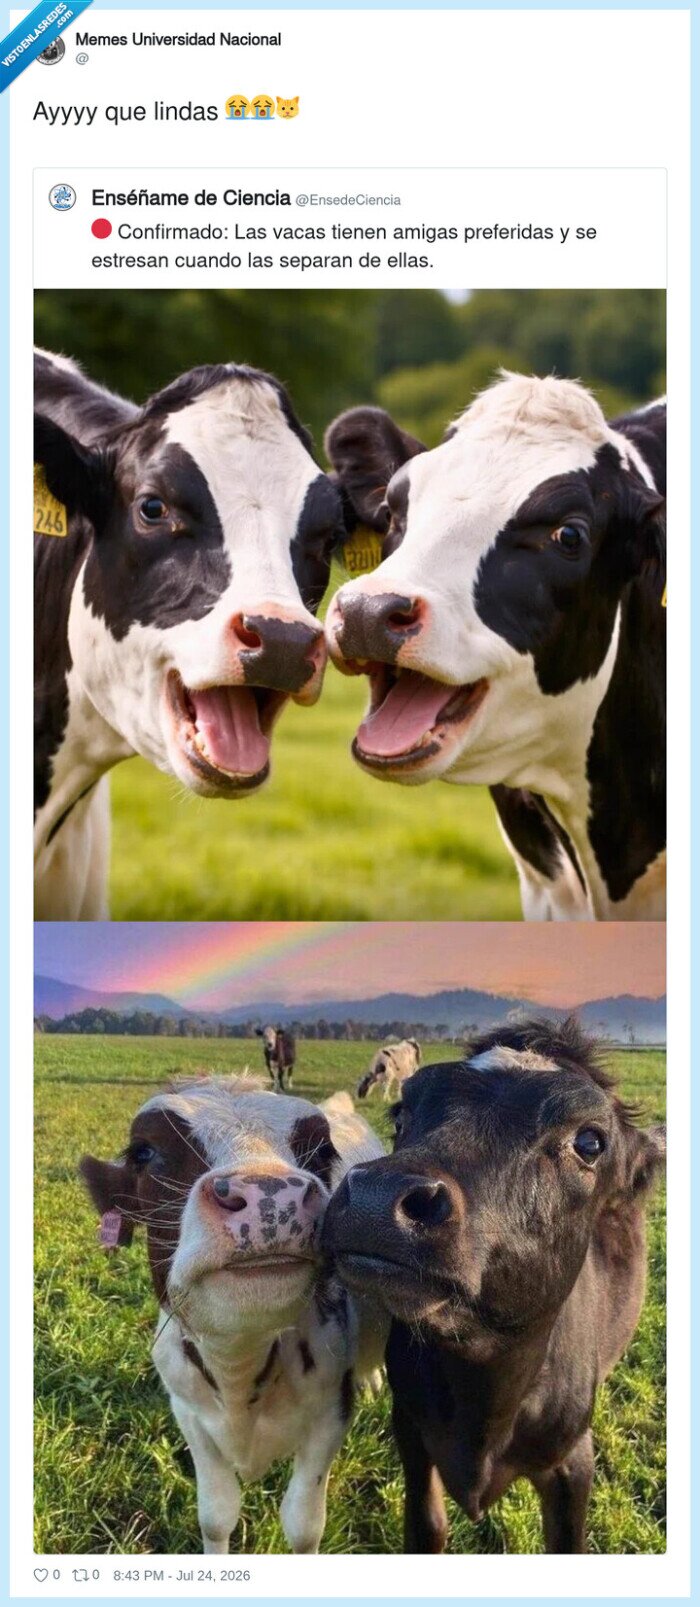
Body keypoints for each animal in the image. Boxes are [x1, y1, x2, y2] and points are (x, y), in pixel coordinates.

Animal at [79, 1076, 387, 1555]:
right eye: (144, 1152)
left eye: (321, 1152)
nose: (270, 1194)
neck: (239, 1371)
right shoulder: (189, 1414)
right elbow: (216, 1517)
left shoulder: (331, 1414)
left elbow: (303, 1526)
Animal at [323, 1018, 665, 1554]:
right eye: (402, 1115)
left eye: (590, 1143)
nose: (376, 1197)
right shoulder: (411, 1431)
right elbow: (429, 1527)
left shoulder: (572, 1463)